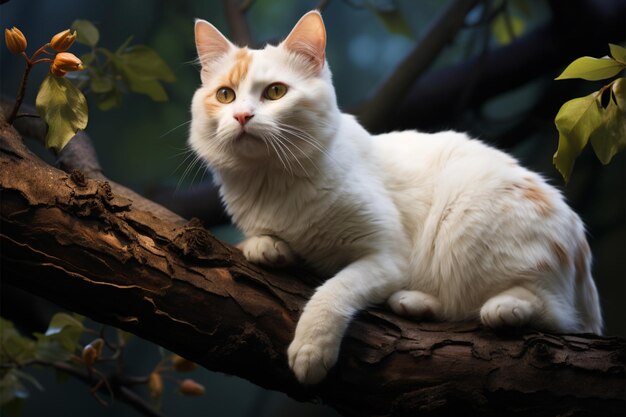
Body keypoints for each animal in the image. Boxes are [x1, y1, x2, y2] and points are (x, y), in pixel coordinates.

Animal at [188, 9, 604, 384]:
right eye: (225, 95)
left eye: (275, 92)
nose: (242, 116)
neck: (272, 179)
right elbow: (261, 241)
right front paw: (266, 246)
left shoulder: (387, 256)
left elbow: (333, 288)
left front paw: (311, 348)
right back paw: (415, 302)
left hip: (469, 226)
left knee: (553, 314)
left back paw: (504, 308)